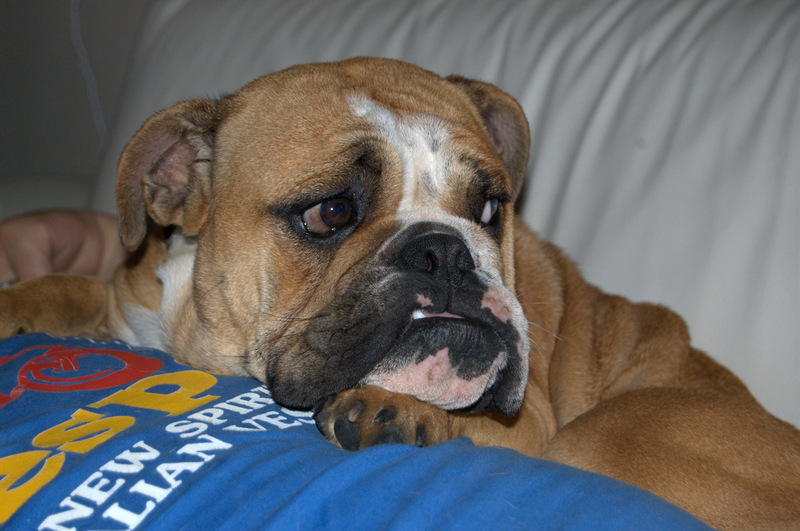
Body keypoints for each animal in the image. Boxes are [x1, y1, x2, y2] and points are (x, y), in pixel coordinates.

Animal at [1, 58, 799, 529]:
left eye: (490, 207)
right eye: (330, 212)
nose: (444, 252)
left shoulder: (531, 423)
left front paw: (403, 408)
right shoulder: (133, 301)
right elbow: (75, 288)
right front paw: (19, 297)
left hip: (601, 434)